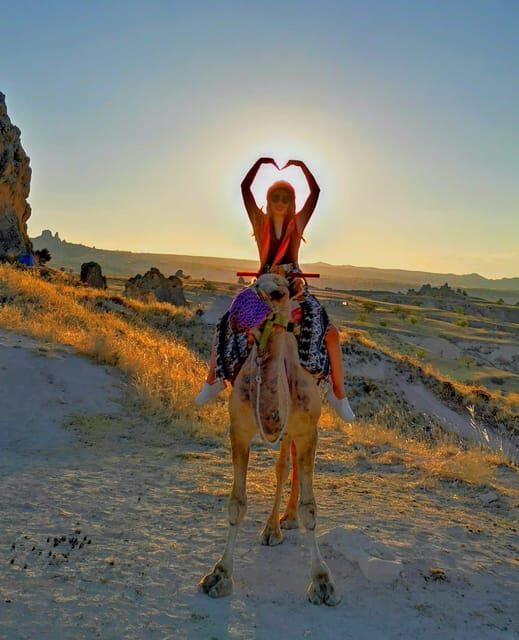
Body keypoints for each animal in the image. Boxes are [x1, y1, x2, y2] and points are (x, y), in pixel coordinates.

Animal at [199, 273, 339, 606]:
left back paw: (285, 520)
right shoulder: (238, 429)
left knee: (286, 468)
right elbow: (236, 503)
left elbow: (310, 508)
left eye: (277, 294)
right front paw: (220, 575)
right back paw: (274, 527)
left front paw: (322, 582)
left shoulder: (308, 431)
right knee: (283, 468)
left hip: (299, 429)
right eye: (252, 285)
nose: (238, 312)